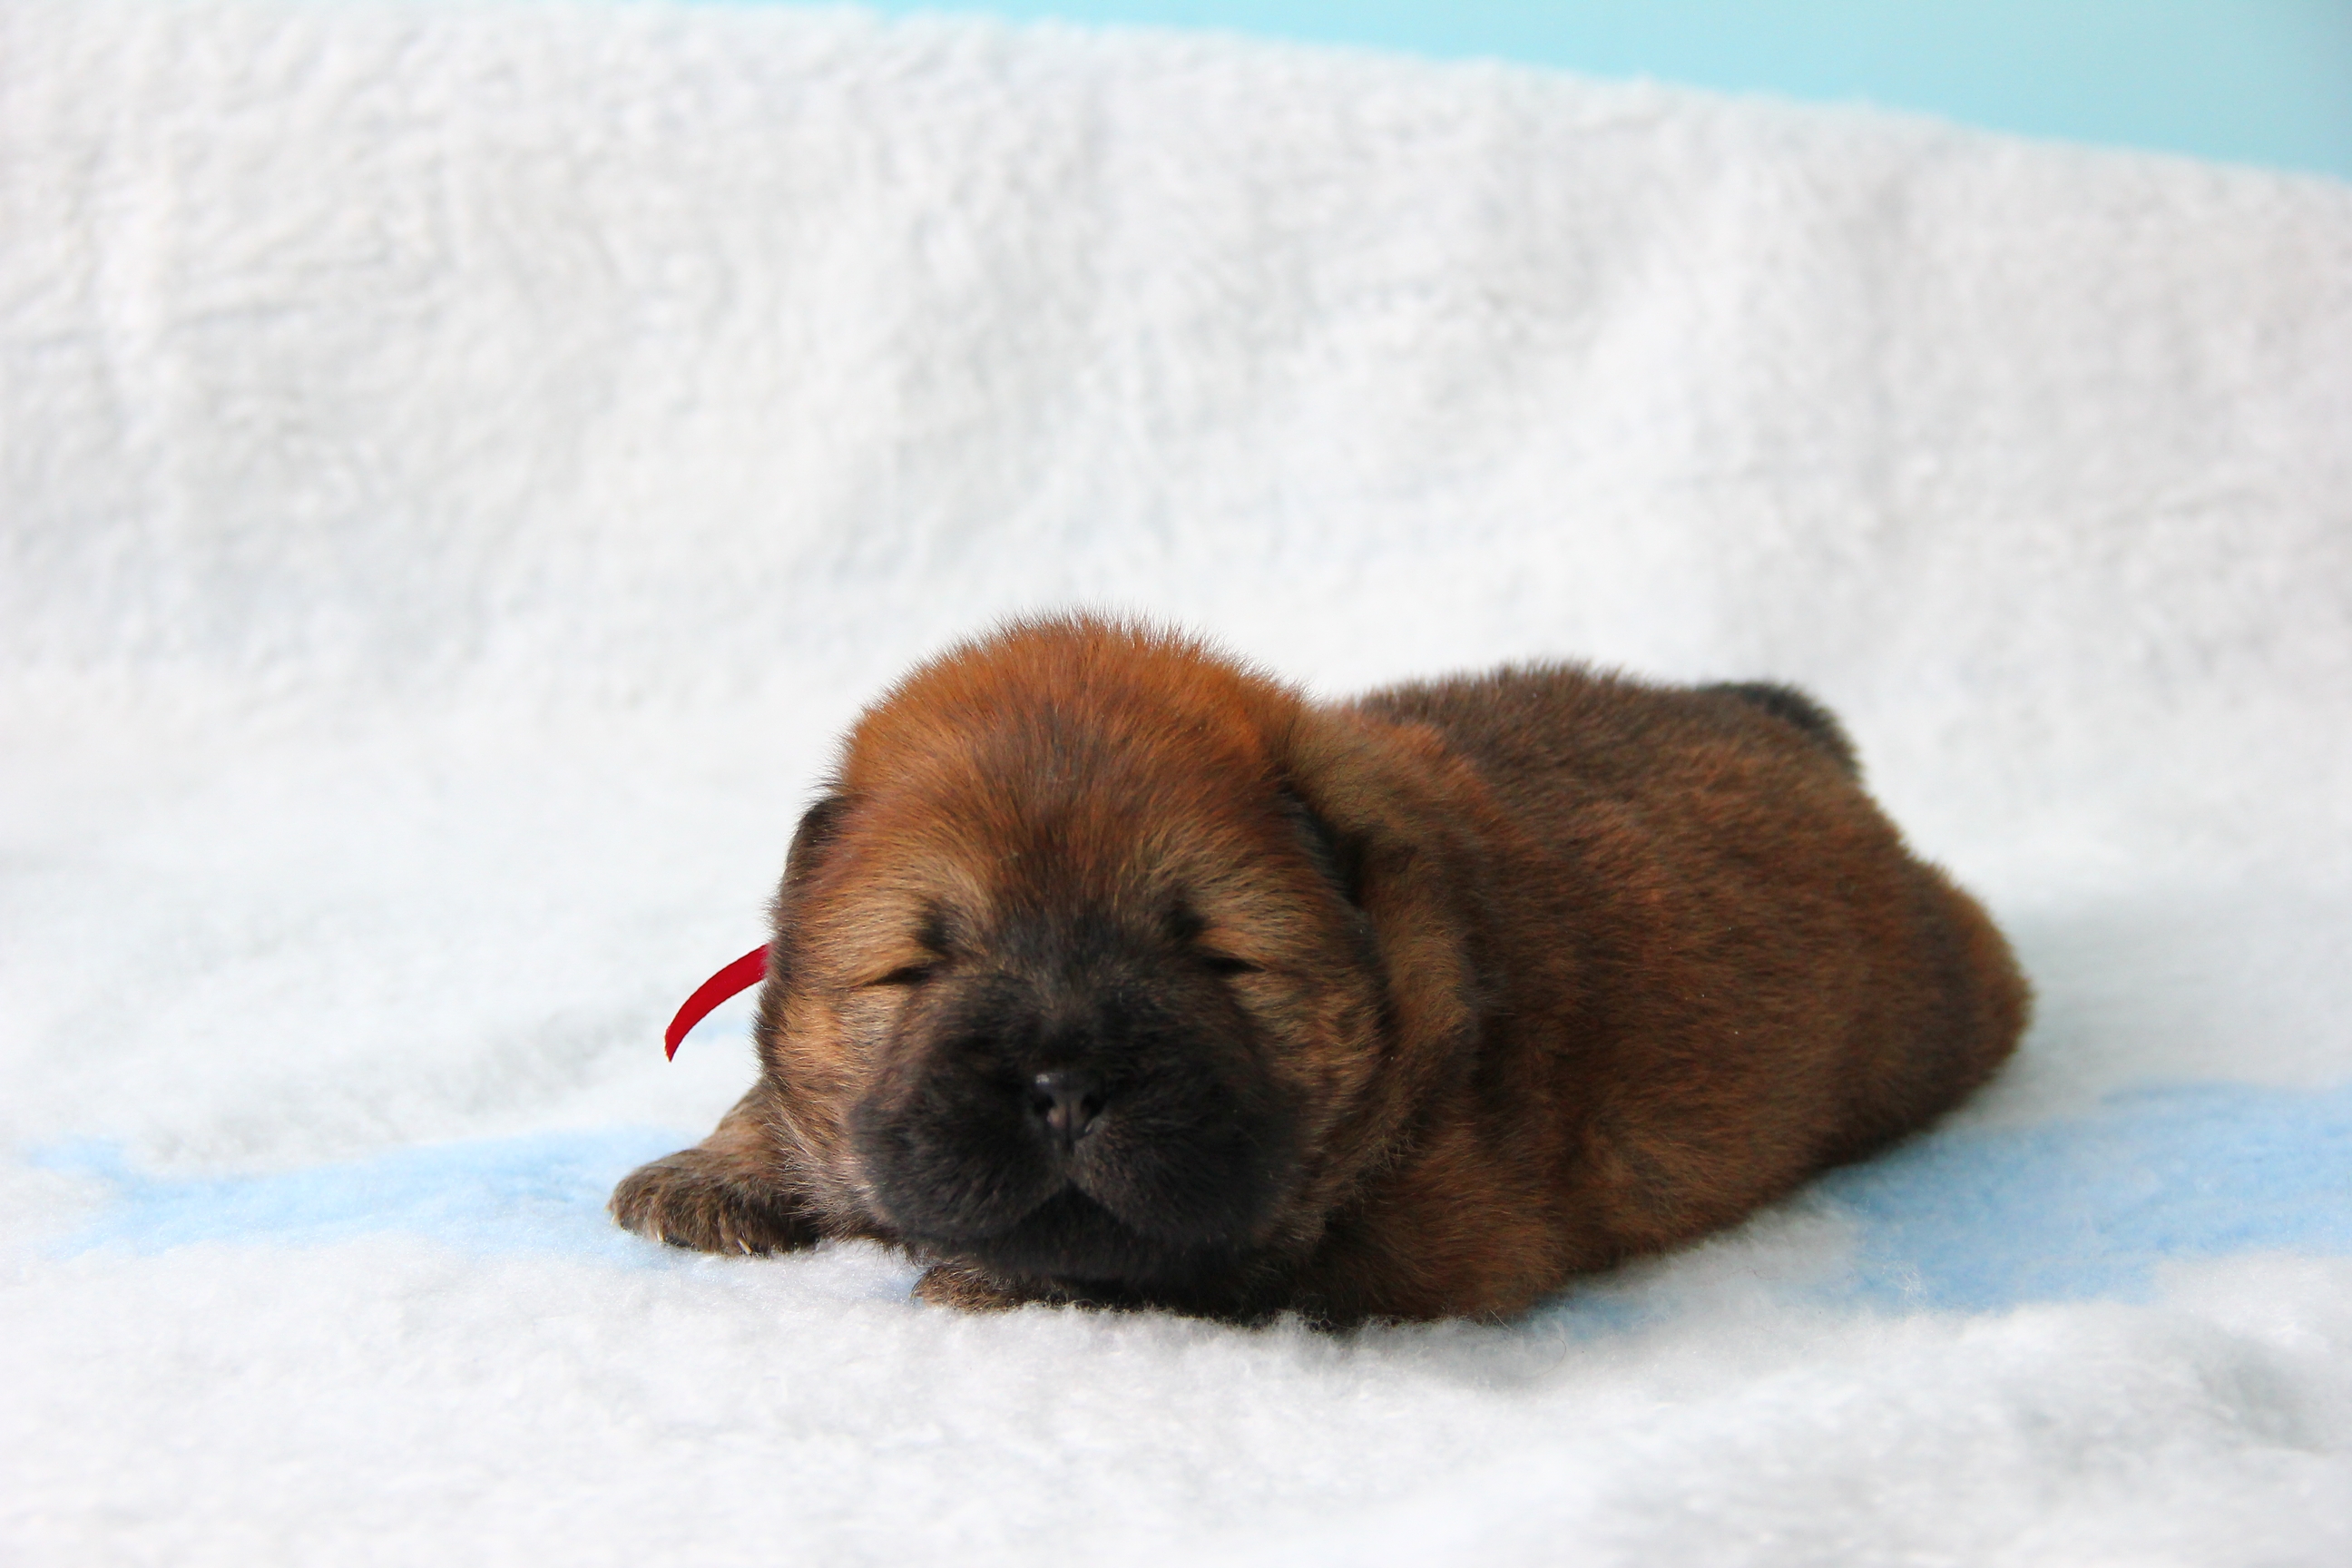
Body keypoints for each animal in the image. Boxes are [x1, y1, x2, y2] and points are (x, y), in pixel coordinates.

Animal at [612, 616, 2027, 1323]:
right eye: (918, 967)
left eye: (1220, 959)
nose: (1063, 1086)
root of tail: (1780, 722)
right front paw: (711, 1172)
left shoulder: (1419, 1234)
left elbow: (1195, 1258)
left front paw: (1000, 1276)